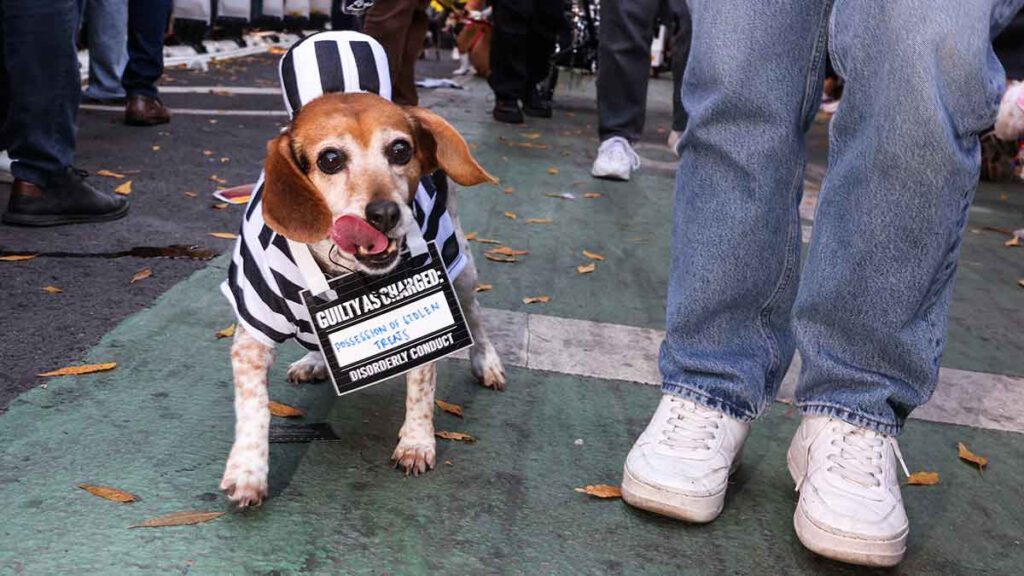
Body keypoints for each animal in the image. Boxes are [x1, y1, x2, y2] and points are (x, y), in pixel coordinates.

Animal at [220, 90, 503, 506]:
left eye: (401, 150)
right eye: (330, 159)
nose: (385, 213)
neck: (342, 270)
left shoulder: (429, 303)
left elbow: (421, 387)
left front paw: (417, 443)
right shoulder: (254, 328)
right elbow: (254, 407)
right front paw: (247, 471)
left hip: (460, 266)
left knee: (476, 316)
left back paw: (487, 363)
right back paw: (314, 361)